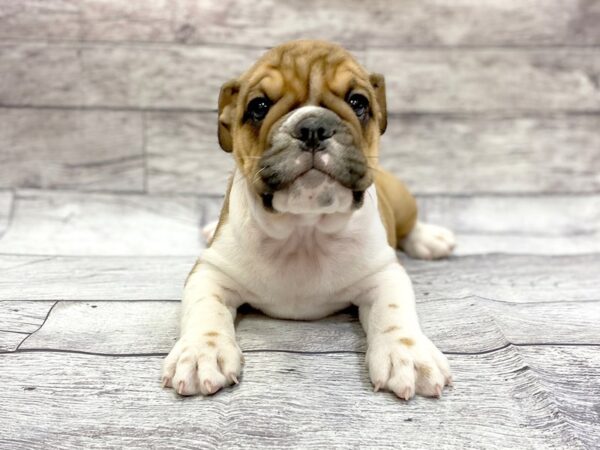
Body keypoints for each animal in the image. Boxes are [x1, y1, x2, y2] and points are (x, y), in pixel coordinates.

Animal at [163, 40, 454, 400]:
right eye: (259, 106)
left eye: (358, 102)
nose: (313, 126)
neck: (304, 230)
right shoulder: (212, 271)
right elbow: (205, 309)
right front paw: (201, 352)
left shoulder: (383, 273)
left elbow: (394, 312)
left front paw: (409, 355)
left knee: (410, 226)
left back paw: (430, 239)